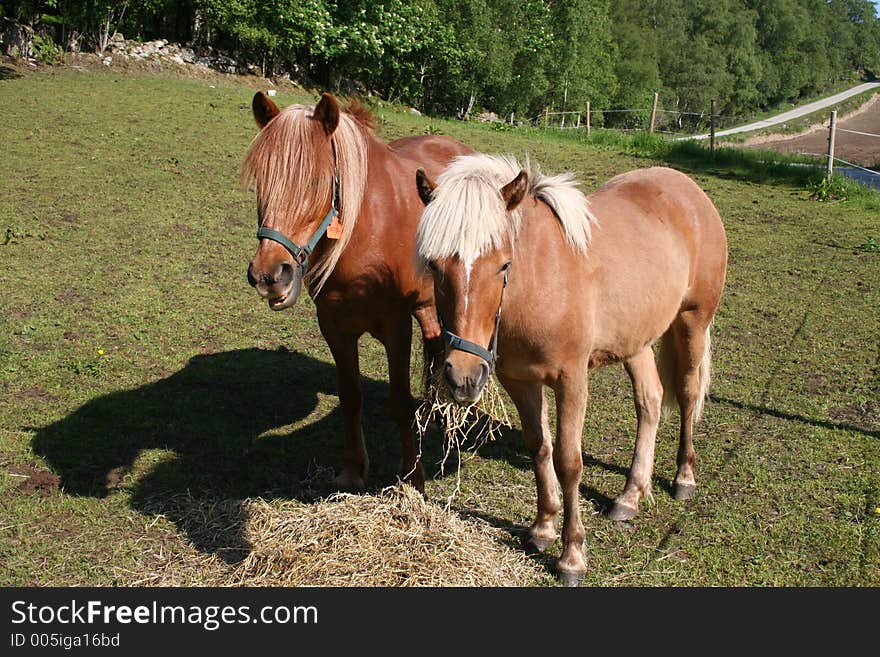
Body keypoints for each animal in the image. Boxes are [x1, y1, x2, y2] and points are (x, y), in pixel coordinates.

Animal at [244, 93, 470, 492]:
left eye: (317, 182)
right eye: (262, 181)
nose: (270, 275)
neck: (365, 233)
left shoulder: (396, 326)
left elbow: (399, 402)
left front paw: (413, 478)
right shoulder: (334, 326)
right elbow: (350, 396)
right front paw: (352, 470)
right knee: (434, 344)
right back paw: (432, 409)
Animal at [416, 155, 724, 584]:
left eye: (503, 265)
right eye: (434, 264)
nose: (463, 375)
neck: (539, 281)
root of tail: (688, 189)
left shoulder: (571, 381)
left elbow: (568, 461)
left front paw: (572, 555)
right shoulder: (520, 380)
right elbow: (539, 447)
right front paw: (543, 528)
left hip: (692, 321)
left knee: (688, 394)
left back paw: (683, 477)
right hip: (636, 340)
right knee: (650, 401)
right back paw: (630, 495)